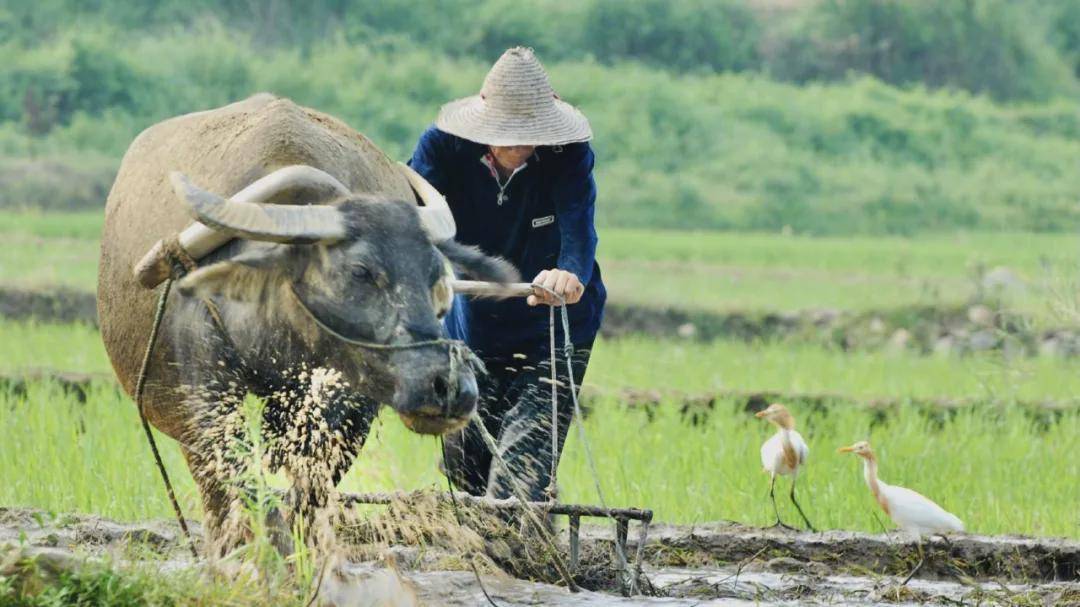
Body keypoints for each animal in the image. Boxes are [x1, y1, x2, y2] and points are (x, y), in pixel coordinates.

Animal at [98, 94, 514, 552]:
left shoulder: (345, 410)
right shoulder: (204, 392)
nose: (450, 385)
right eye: (360, 271)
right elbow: (239, 480)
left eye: (435, 276)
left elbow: (310, 486)